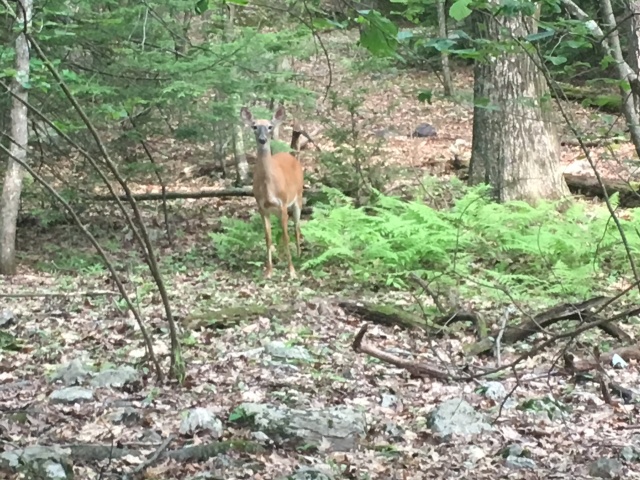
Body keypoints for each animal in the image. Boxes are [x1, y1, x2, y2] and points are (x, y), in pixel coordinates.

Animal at [241, 105, 304, 279]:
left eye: (270, 126)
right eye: (254, 126)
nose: (262, 139)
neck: (269, 187)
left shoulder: (282, 204)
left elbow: (286, 236)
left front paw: (292, 271)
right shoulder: (262, 207)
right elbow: (268, 237)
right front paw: (269, 271)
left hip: (298, 198)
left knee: (296, 227)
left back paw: (298, 255)